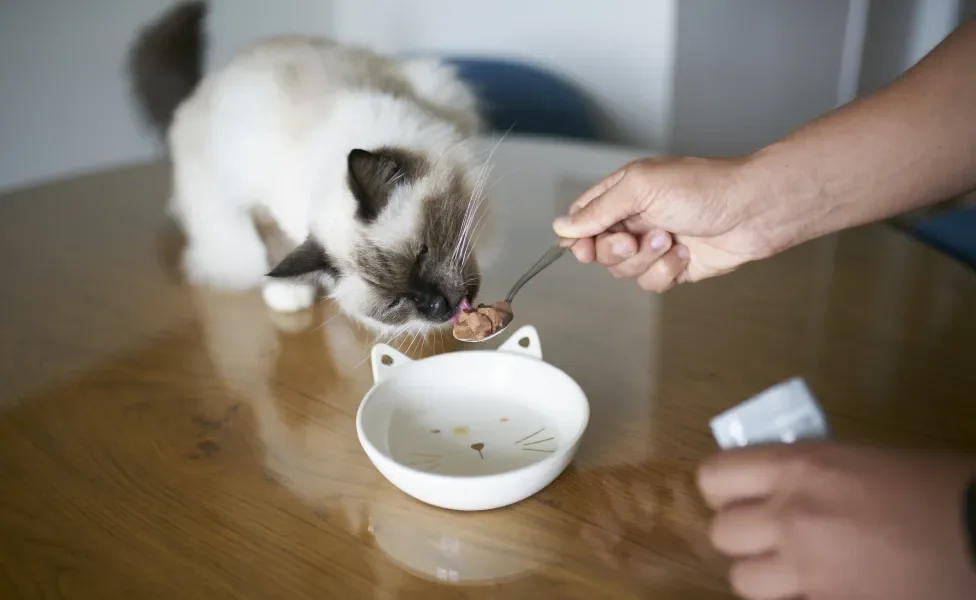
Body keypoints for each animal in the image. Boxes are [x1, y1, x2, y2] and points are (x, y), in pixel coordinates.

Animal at [127, 2, 496, 336]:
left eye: (423, 253)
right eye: (395, 301)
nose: (439, 306)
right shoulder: (259, 201)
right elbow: (274, 243)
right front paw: (288, 295)